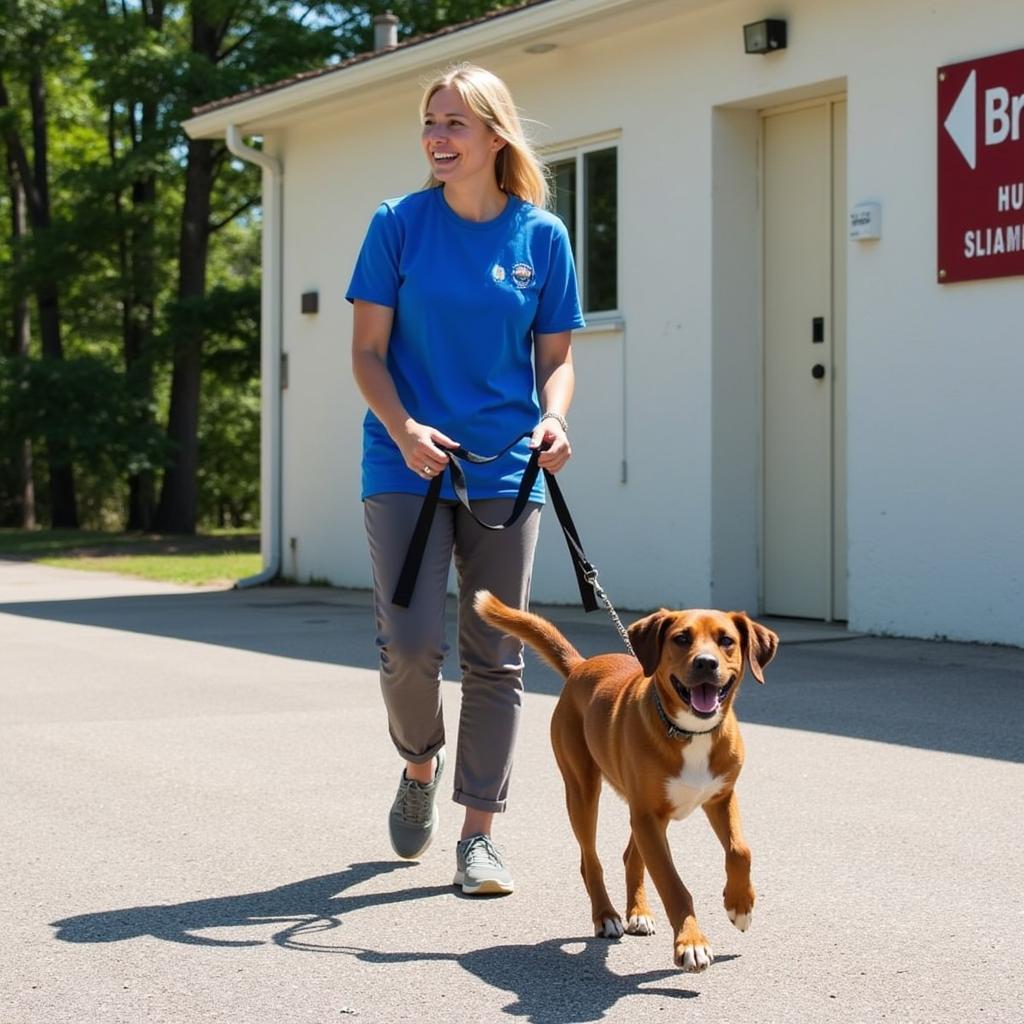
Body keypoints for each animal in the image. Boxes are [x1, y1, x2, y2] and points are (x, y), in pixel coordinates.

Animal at [475, 589, 778, 970]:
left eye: (726, 641)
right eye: (681, 639)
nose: (706, 663)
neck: (688, 732)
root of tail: (580, 667)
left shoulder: (719, 798)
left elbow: (740, 850)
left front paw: (740, 905)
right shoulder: (648, 815)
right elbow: (673, 884)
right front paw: (691, 942)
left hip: (647, 812)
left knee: (630, 855)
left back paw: (639, 913)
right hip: (584, 793)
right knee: (590, 861)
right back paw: (606, 915)